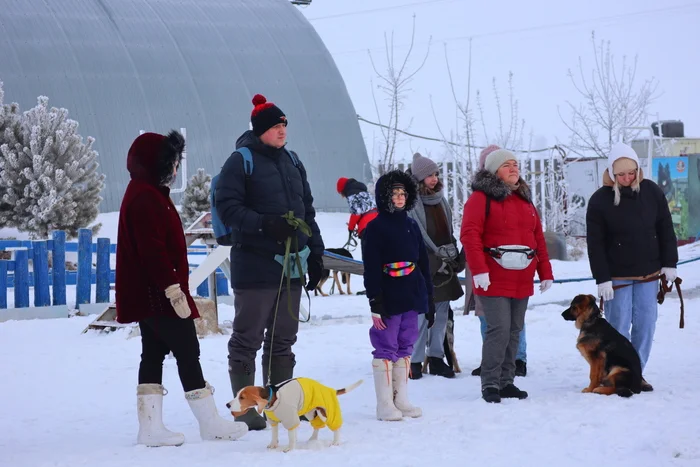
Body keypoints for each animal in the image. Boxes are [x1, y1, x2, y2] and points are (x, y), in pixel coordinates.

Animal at [227, 376, 364, 454]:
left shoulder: (290, 418)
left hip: (325, 412)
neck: (273, 398)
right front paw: (273, 445)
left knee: (336, 428)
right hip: (310, 412)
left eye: (242, 397)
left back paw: (336, 442)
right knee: (317, 426)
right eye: (237, 395)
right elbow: (274, 434)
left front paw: (290, 449)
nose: (227, 405)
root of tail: (329, 389)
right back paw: (313, 438)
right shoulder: (273, 421)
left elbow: (291, 437)